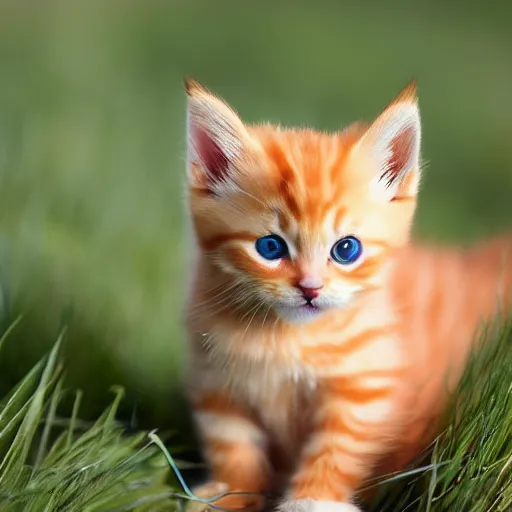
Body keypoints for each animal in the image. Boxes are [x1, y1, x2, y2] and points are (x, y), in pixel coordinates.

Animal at [182, 77, 510, 512]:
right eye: (270, 247)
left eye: (346, 249)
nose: (310, 288)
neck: (286, 339)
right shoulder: (214, 377)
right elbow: (232, 443)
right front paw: (228, 495)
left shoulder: (367, 383)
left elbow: (338, 446)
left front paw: (311, 500)